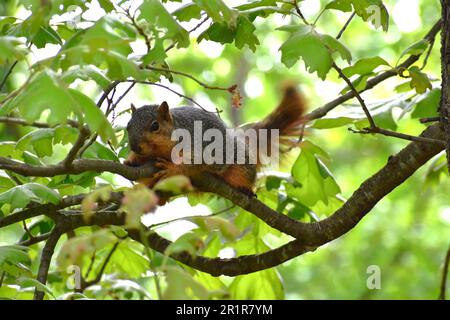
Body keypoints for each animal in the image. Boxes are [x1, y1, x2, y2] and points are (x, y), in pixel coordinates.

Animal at [123, 84, 306, 196]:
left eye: (155, 126)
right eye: (128, 125)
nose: (135, 147)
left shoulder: (200, 145)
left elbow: (193, 163)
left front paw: (172, 169)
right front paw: (132, 160)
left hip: (240, 161)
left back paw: (244, 187)